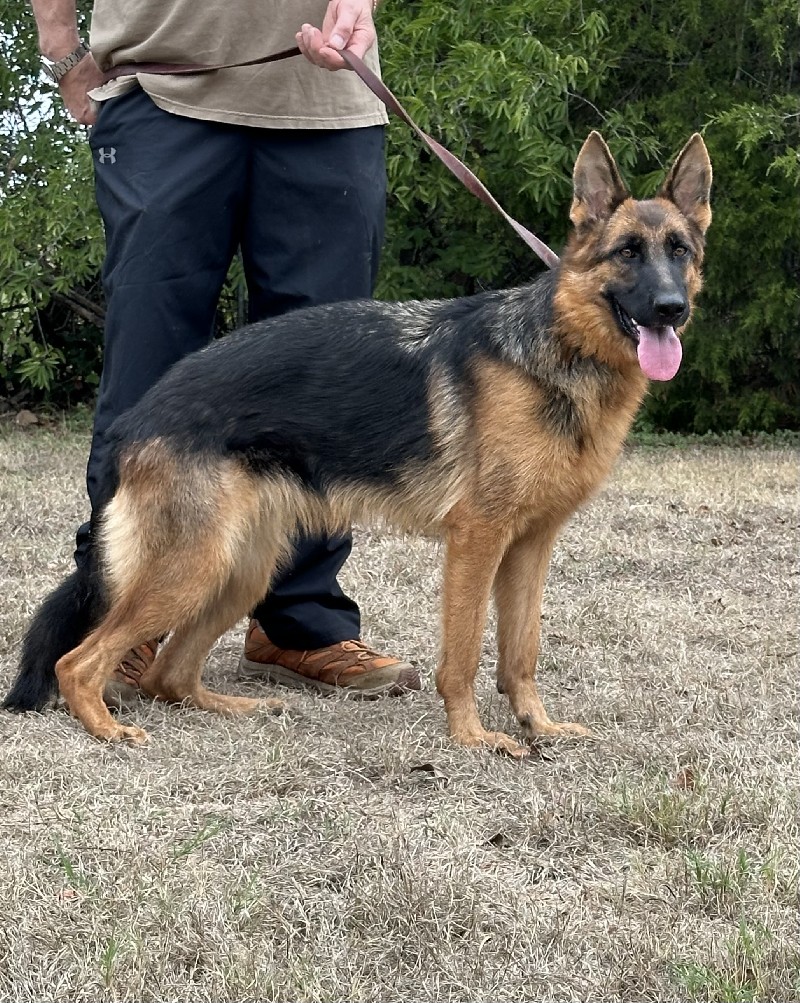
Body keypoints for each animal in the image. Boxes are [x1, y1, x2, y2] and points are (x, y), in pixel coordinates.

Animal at [1, 135, 713, 758]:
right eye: (627, 253)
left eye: (679, 251)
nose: (670, 309)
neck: (560, 347)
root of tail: (140, 415)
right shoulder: (477, 542)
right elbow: (463, 653)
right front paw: (471, 738)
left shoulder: (531, 547)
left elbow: (521, 652)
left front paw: (538, 726)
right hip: (191, 567)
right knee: (79, 661)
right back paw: (107, 727)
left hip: (240, 571)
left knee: (168, 674)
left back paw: (234, 707)